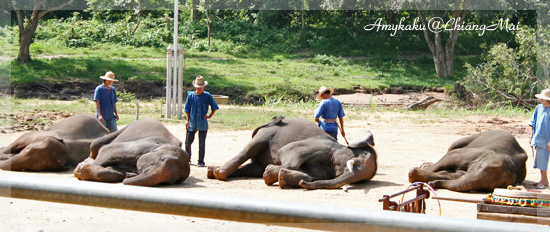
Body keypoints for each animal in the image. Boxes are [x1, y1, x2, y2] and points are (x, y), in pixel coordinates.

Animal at [208, 117, 380, 189]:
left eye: (362, 180)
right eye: (360, 158)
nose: (302, 185)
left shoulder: (325, 172)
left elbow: (310, 175)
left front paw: (276, 176)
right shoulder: (320, 145)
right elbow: (288, 152)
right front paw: (272, 173)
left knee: (254, 168)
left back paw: (212, 171)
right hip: (269, 132)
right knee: (250, 149)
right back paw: (219, 173)